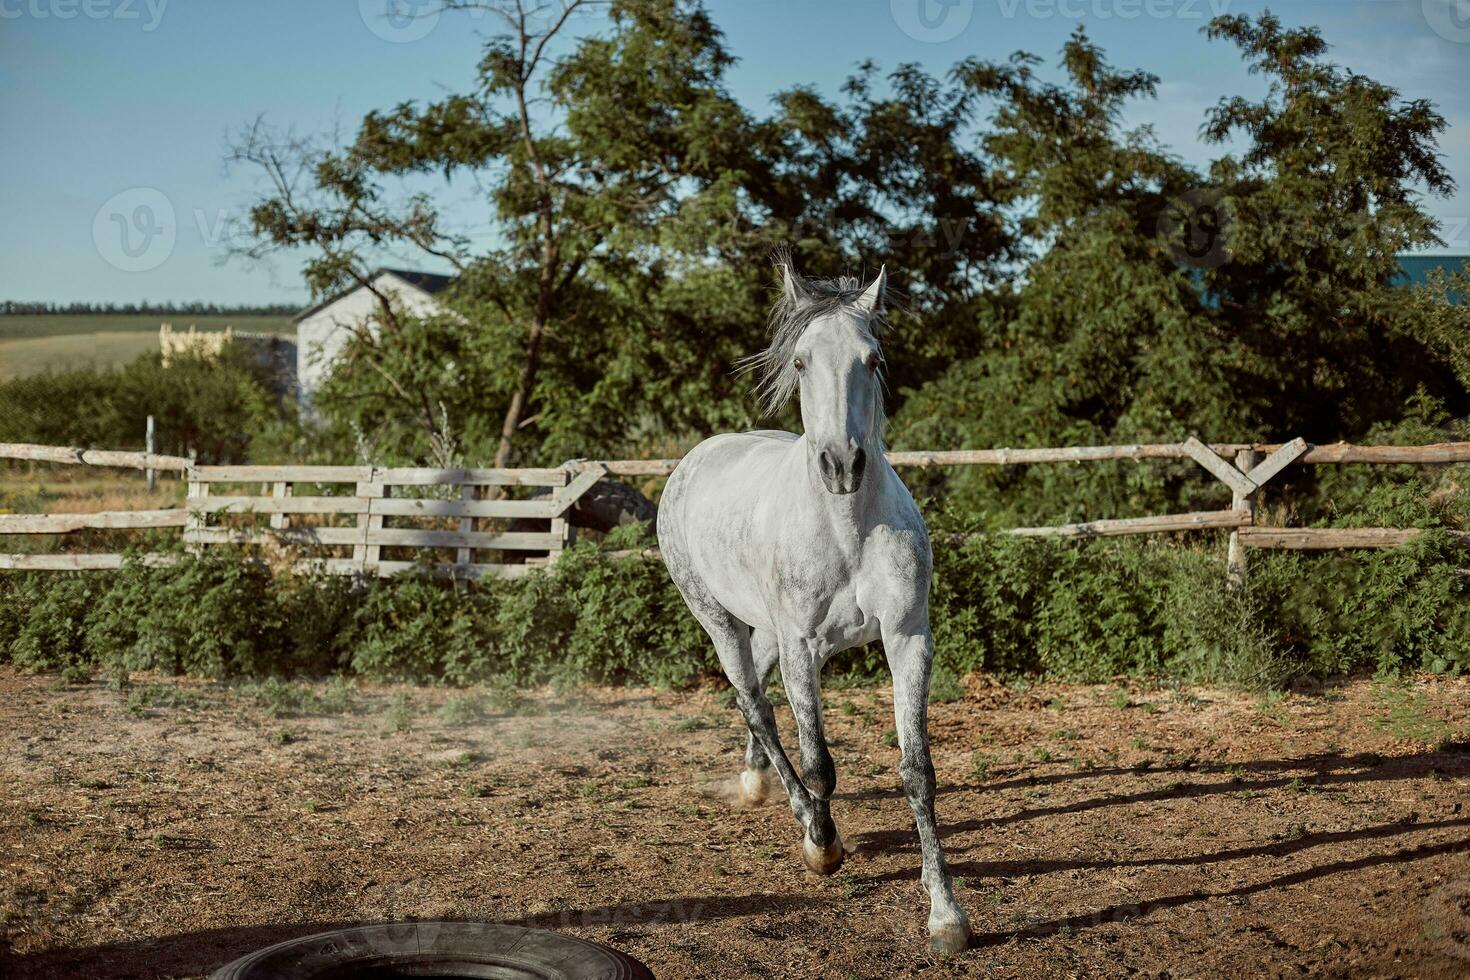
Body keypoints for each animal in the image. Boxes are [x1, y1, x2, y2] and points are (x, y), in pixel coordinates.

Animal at [661, 257, 970, 952]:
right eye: (801, 362)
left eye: (873, 359)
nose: (841, 464)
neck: (847, 527)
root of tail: (697, 457)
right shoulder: (802, 645)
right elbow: (820, 763)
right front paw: (823, 850)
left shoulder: (908, 638)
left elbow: (918, 770)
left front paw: (947, 915)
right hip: (719, 621)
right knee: (757, 706)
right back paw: (798, 812)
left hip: (772, 634)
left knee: (756, 700)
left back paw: (754, 781)